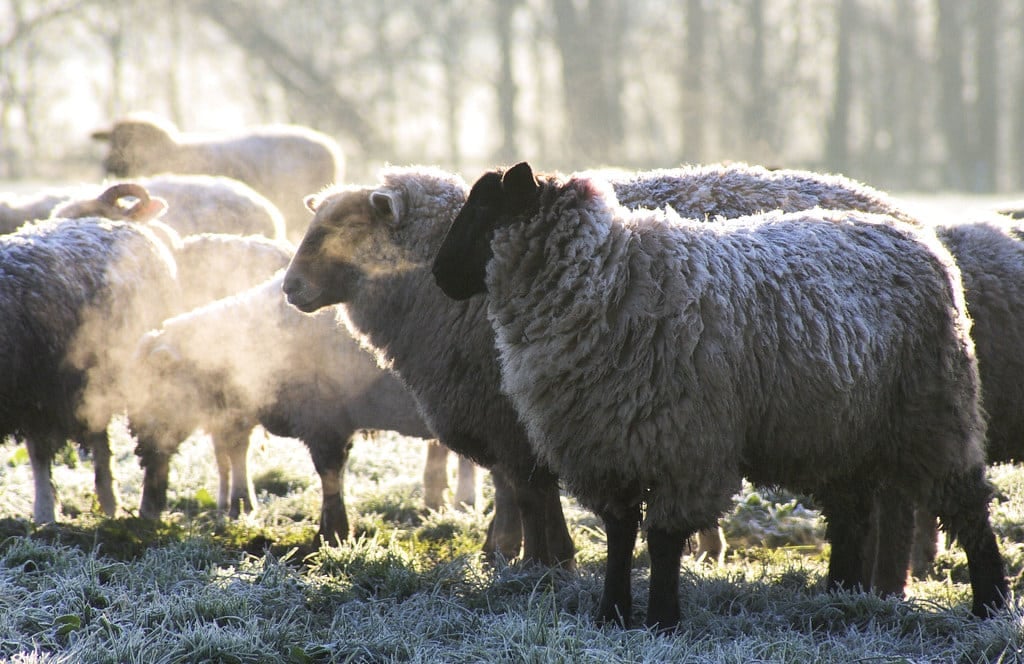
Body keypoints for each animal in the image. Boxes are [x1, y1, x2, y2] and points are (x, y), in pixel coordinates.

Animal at [0, 216, 179, 523]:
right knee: (100, 444)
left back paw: (143, 510)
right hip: (89, 389)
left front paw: (45, 516)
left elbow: (39, 454)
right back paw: (109, 504)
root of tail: (127, 225)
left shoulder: (38, 395)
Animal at [431, 162, 1007, 629]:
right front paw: (611, 614)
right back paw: (838, 598)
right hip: (838, 428)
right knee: (852, 515)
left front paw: (662, 620)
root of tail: (921, 238)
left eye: (484, 208)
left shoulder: (685, 445)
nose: (438, 276)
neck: (610, 280)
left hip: (933, 412)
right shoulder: (609, 444)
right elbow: (620, 534)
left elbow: (663, 540)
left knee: (968, 507)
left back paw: (991, 605)